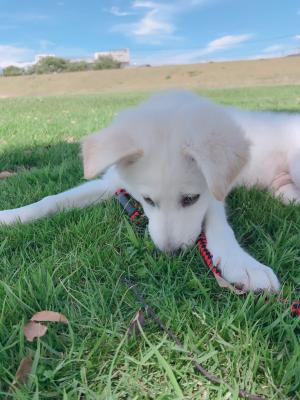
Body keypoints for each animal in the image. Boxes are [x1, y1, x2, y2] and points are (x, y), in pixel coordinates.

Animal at [1, 90, 298, 290]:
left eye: (190, 199)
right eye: (146, 200)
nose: (171, 253)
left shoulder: (213, 192)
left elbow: (218, 227)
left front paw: (243, 265)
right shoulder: (110, 183)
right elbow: (50, 200)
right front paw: (12, 216)